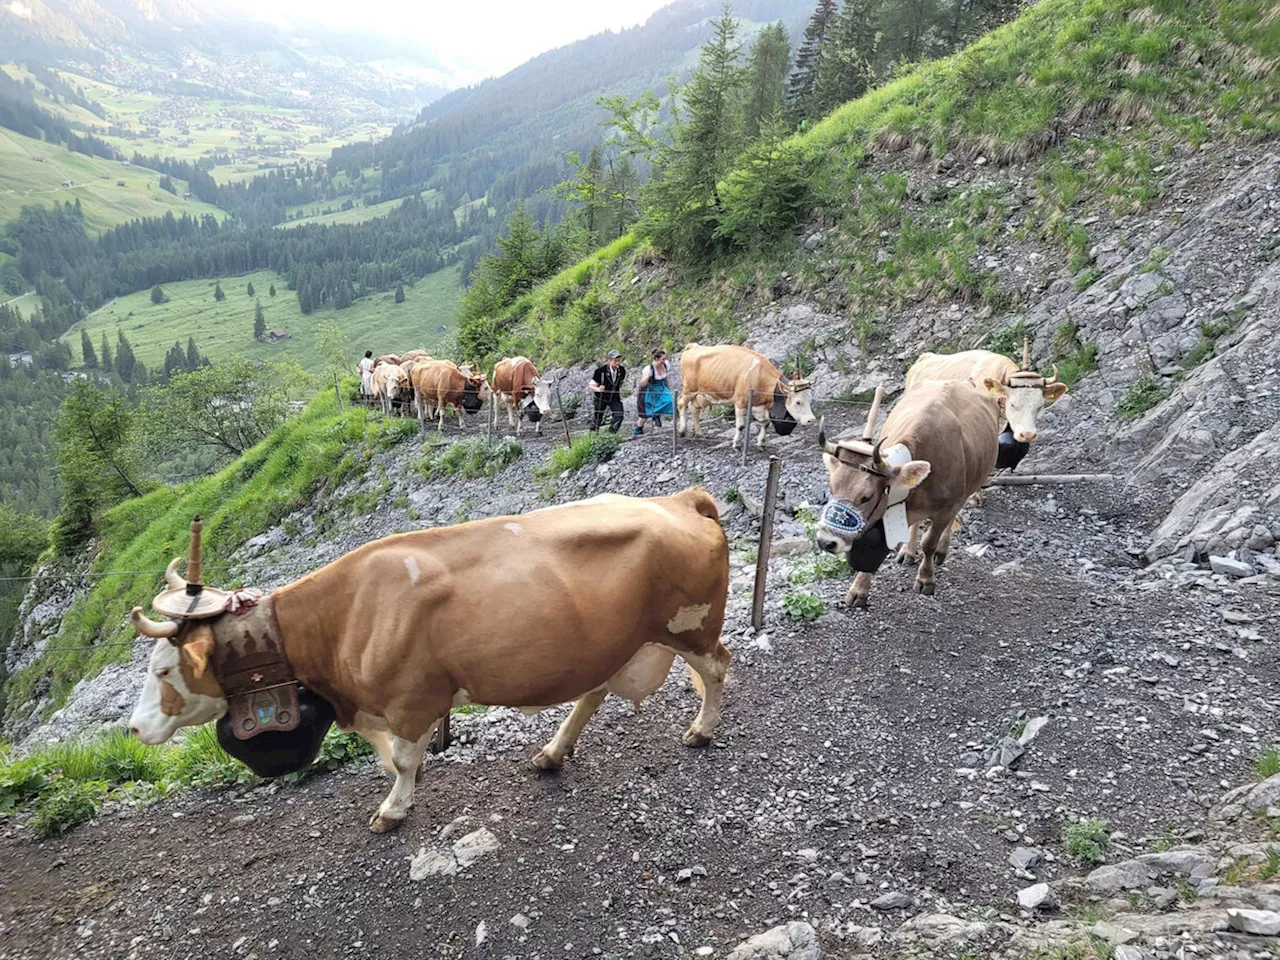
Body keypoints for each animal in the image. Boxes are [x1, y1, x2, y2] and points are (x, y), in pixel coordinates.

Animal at [675, 343, 814, 453]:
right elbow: (741, 426)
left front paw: (761, 443)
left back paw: (699, 433)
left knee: (694, 410)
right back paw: (682, 430)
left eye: (810, 399)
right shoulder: (740, 401)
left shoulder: (759, 406)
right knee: (681, 403)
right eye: (798, 402)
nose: (811, 420)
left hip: (701, 394)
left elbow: (765, 423)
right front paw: (736, 445)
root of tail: (694, 346)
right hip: (689, 389)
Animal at [814, 378, 1003, 609]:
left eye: (866, 497)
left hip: (968, 489)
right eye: (832, 488)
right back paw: (907, 551)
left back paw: (940, 551)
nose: (826, 541)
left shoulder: (946, 508)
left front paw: (926, 579)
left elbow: (929, 543)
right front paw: (858, 589)